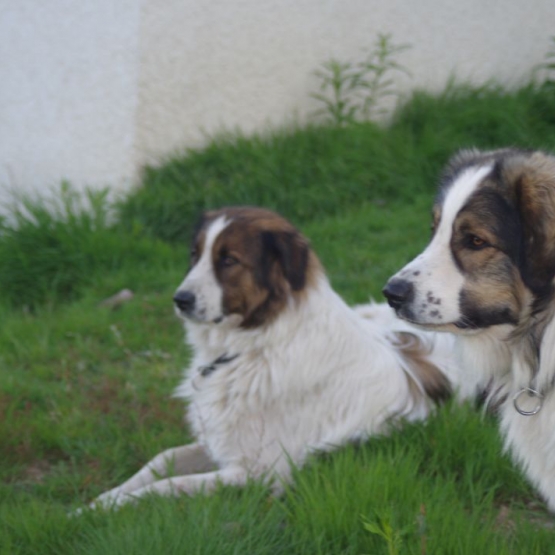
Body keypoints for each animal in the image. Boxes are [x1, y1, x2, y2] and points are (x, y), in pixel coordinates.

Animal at [89, 205, 458, 508]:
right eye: (195, 255)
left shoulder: (259, 473)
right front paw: (101, 501)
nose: (180, 299)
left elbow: (169, 484)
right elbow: (160, 460)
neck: (256, 345)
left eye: (228, 260)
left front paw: (111, 507)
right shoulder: (219, 444)